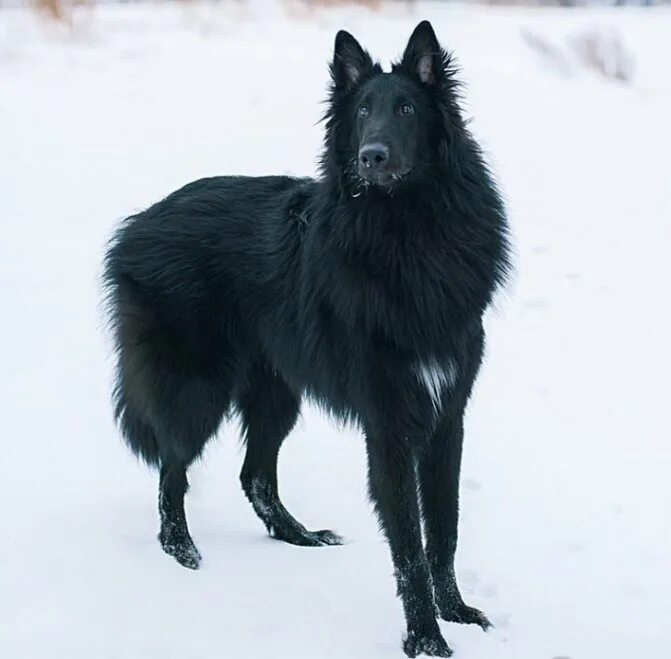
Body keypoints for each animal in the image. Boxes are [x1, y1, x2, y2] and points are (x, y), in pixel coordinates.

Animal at [103, 21, 510, 659]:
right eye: (363, 111)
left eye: (407, 108)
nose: (371, 155)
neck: (408, 230)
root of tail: (138, 224)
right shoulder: (390, 427)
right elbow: (410, 549)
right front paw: (426, 639)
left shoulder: (447, 415)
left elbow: (444, 529)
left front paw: (456, 613)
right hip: (198, 392)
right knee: (172, 471)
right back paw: (182, 551)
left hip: (277, 393)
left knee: (254, 476)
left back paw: (298, 536)